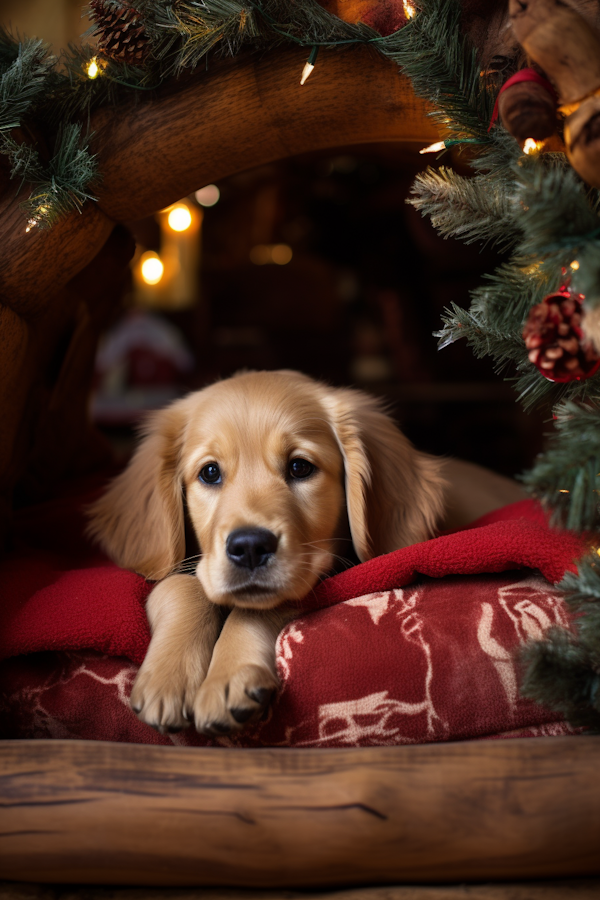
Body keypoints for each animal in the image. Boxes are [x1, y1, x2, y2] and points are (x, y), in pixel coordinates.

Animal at [86, 370, 524, 736]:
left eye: (300, 468)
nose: (249, 547)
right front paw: (168, 677)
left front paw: (229, 676)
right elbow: (180, 585)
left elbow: (258, 607)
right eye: (209, 473)